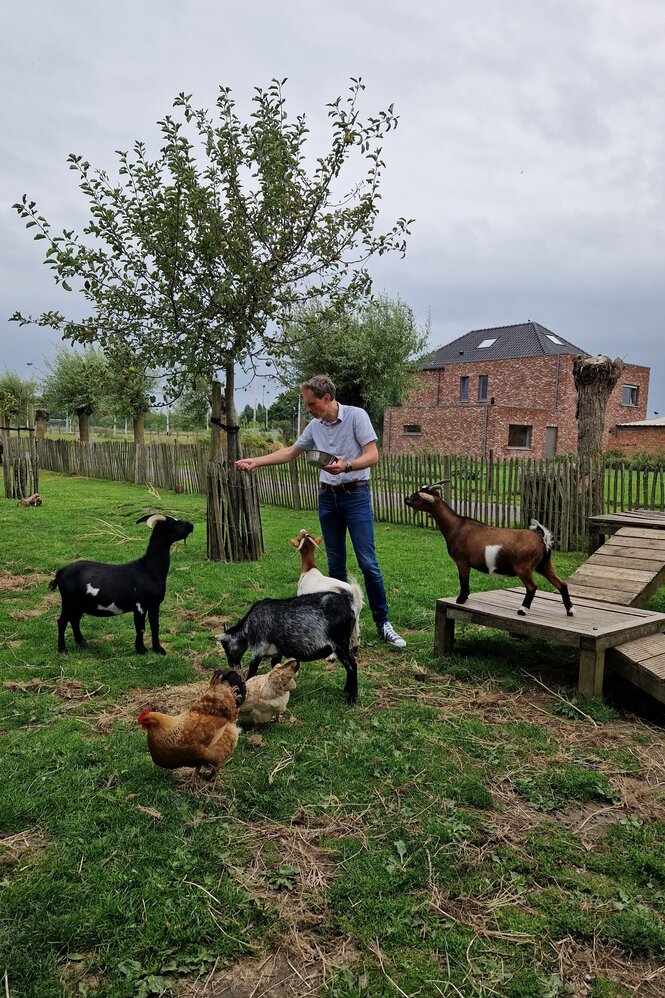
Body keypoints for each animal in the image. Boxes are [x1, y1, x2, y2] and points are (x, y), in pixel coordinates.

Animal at [48, 516, 195, 656]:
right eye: (172, 524)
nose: (191, 525)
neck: (148, 569)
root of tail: (61, 572)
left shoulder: (154, 604)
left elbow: (155, 625)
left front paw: (158, 649)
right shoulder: (140, 605)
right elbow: (140, 627)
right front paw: (141, 650)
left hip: (78, 604)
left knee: (75, 620)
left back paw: (81, 642)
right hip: (69, 602)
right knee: (62, 622)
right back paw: (62, 650)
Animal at [219, 592, 360, 704]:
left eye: (225, 647)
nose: (231, 663)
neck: (247, 627)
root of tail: (349, 607)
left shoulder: (259, 648)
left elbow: (252, 669)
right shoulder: (276, 652)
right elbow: (275, 667)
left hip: (340, 643)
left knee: (352, 665)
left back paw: (351, 698)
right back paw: (346, 691)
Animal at [402, 486, 572, 616]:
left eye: (418, 496)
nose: (405, 498)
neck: (456, 526)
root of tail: (541, 538)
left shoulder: (462, 560)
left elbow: (463, 579)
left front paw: (461, 599)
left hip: (524, 567)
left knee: (532, 587)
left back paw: (522, 610)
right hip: (544, 565)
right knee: (562, 584)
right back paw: (570, 610)